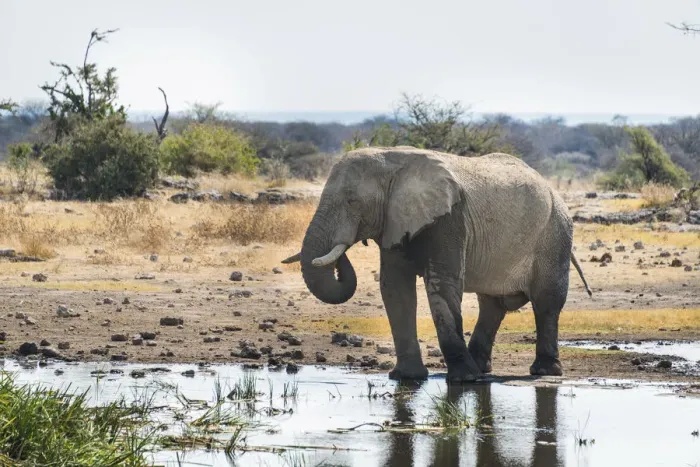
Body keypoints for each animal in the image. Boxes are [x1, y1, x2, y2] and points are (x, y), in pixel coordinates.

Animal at [282, 146, 591, 383]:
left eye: (352, 201)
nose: (343, 249)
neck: (393, 161)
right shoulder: (396, 220)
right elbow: (395, 288)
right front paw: (407, 377)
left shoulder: (450, 218)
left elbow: (442, 284)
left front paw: (463, 380)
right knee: (492, 305)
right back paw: (480, 368)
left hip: (555, 234)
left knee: (546, 302)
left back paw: (543, 371)